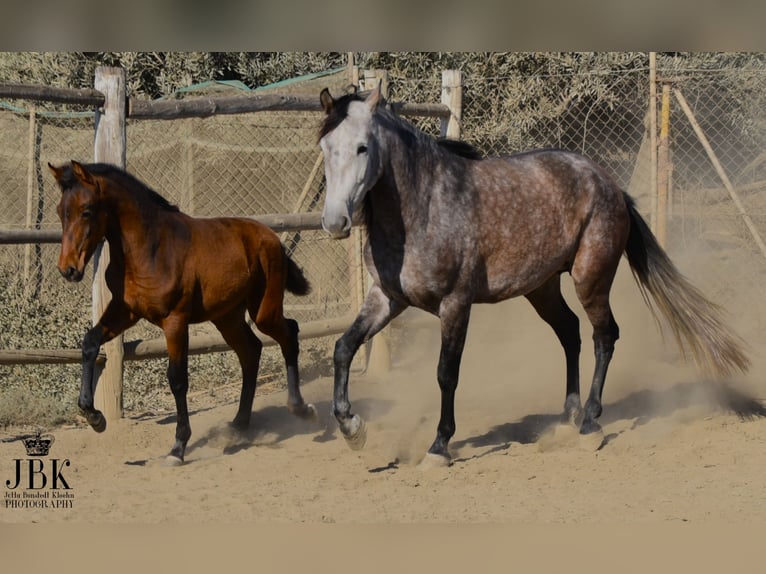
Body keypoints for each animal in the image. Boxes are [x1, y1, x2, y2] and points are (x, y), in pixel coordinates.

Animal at [49, 160, 318, 466]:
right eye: (60, 211)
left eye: (86, 210)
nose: (68, 269)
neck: (149, 249)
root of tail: (272, 237)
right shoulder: (125, 310)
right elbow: (89, 343)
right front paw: (95, 418)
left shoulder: (175, 320)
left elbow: (177, 379)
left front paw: (178, 447)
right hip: (227, 317)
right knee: (251, 351)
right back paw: (239, 424)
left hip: (264, 311)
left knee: (289, 333)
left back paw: (301, 409)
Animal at [316, 85, 752, 468]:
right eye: (325, 147)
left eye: (363, 147)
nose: (335, 223)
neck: (423, 207)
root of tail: (609, 183)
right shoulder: (387, 297)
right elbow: (343, 347)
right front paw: (352, 429)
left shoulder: (455, 304)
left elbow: (445, 373)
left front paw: (439, 447)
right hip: (542, 288)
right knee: (570, 332)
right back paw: (566, 418)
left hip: (590, 279)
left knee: (604, 336)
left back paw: (590, 424)